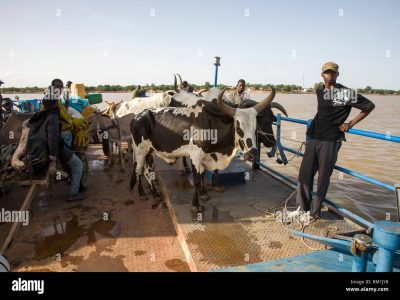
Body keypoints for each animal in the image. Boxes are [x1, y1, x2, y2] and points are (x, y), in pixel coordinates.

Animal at [130, 88, 276, 212]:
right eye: (239, 127)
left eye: (256, 127)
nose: (253, 153)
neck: (211, 123)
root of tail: (136, 117)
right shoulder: (195, 155)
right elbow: (196, 179)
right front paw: (195, 205)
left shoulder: (206, 156)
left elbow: (201, 175)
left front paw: (203, 194)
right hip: (140, 151)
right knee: (138, 171)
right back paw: (142, 193)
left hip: (150, 152)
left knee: (148, 173)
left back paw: (155, 194)